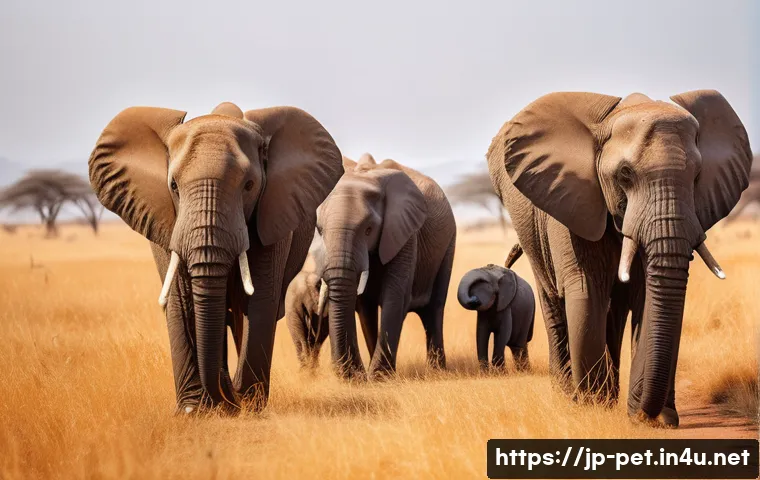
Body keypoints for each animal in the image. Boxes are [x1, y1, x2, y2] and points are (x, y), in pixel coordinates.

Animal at [88, 102, 343, 414]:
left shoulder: (273, 213)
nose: (228, 395)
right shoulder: (165, 218)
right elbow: (180, 297)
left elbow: (259, 298)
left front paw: (249, 405)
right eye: (173, 186)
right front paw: (193, 411)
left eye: (249, 185)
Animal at [315, 153, 457, 379]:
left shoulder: (404, 231)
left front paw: (379, 378)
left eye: (369, 230)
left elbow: (395, 295)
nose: (351, 375)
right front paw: (361, 377)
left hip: (448, 243)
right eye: (319, 229)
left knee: (434, 308)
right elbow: (362, 304)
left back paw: (437, 372)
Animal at [487, 90, 753, 427]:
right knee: (555, 303)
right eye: (625, 174)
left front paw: (652, 417)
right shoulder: (572, 201)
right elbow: (587, 291)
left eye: (696, 177)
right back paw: (569, 396)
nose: (643, 412)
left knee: (613, 316)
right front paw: (591, 409)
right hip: (531, 234)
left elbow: (646, 296)